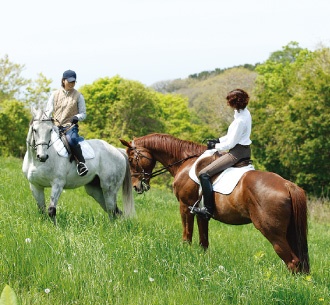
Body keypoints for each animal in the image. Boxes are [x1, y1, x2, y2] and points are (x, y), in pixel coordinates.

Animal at [120, 134, 310, 274]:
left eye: (131, 159)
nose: (137, 186)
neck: (185, 162)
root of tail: (288, 185)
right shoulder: (201, 213)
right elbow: (203, 242)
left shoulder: (185, 207)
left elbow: (187, 236)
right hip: (290, 232)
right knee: (300, 263)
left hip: (272, 231)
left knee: (292, 262)